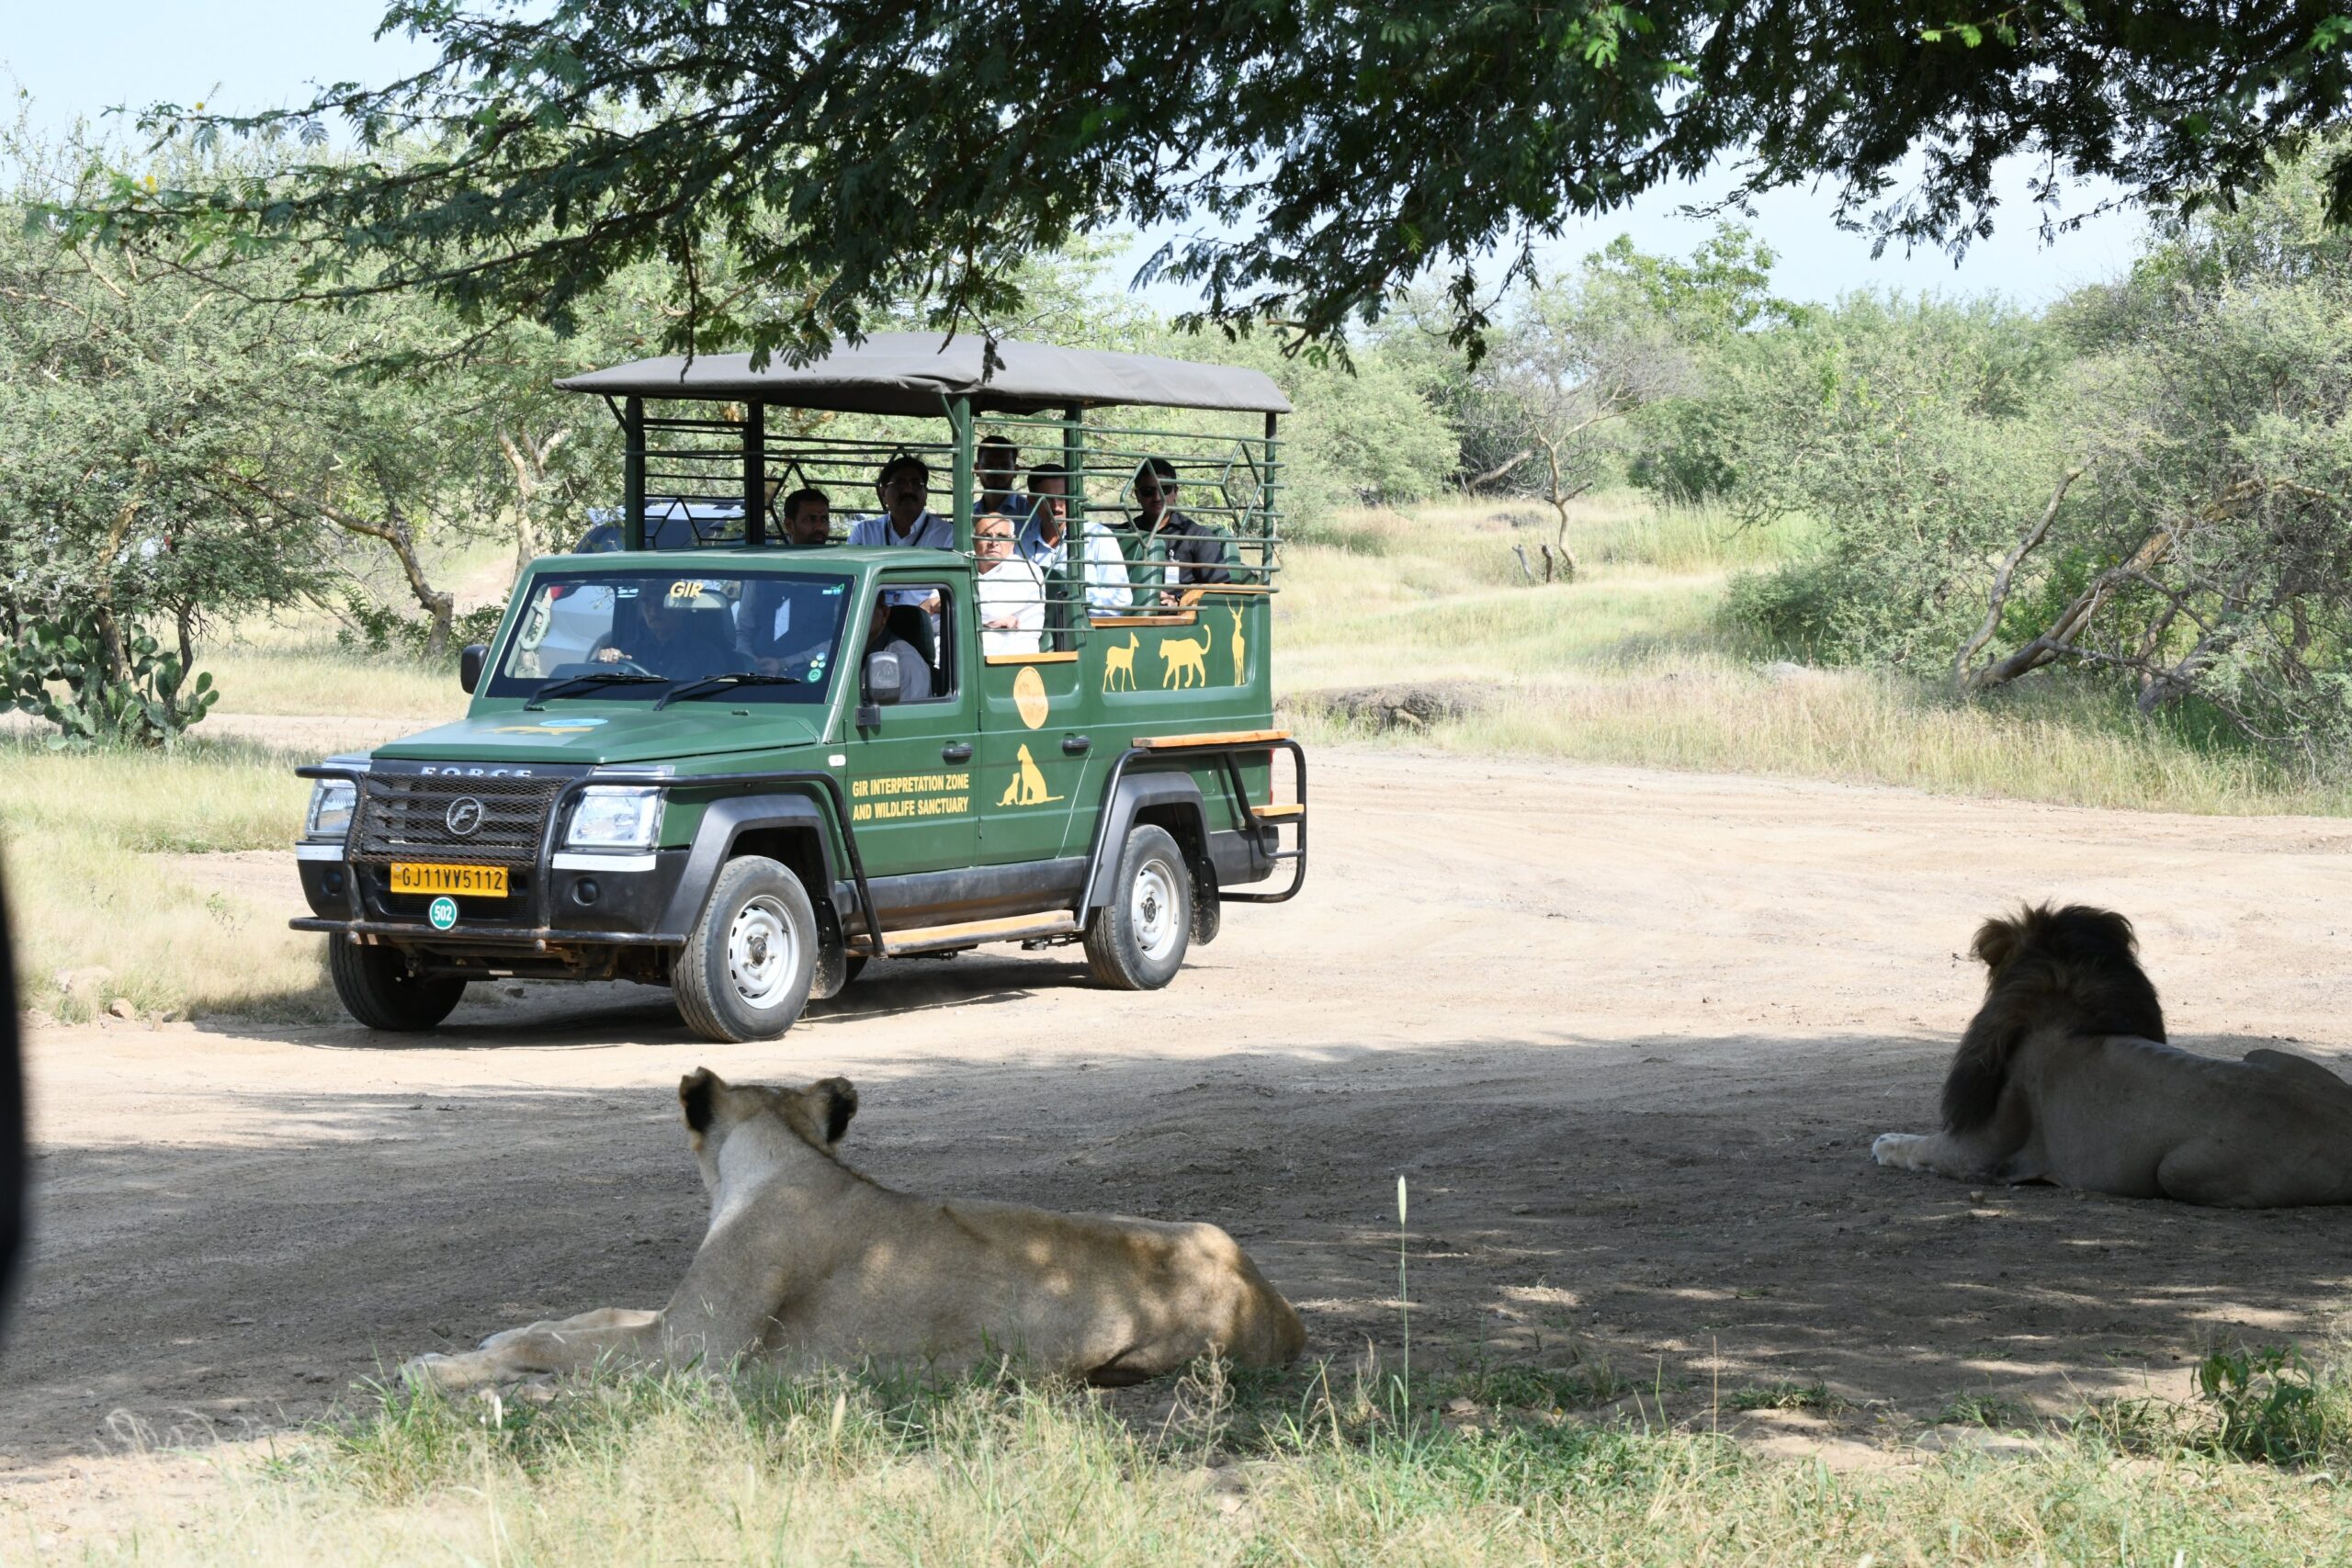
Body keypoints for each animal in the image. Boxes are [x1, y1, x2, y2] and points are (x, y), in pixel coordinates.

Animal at [413, 1072, 1317, 1392]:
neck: (784, 1155)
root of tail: (1284, 1314)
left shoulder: (690, 1351)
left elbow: (557, 1344)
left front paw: (434, 1368)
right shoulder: (671, 1322)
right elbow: (578, 1316)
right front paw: (494, 1334)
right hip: (1195, 1225)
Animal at [1871, 902, 2352, 1213]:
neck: (2068, 1005)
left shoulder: (1980, 1153)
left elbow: (1918, 1147)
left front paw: (1884, 1142)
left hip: (2180, 1171)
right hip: (2265, 1052)